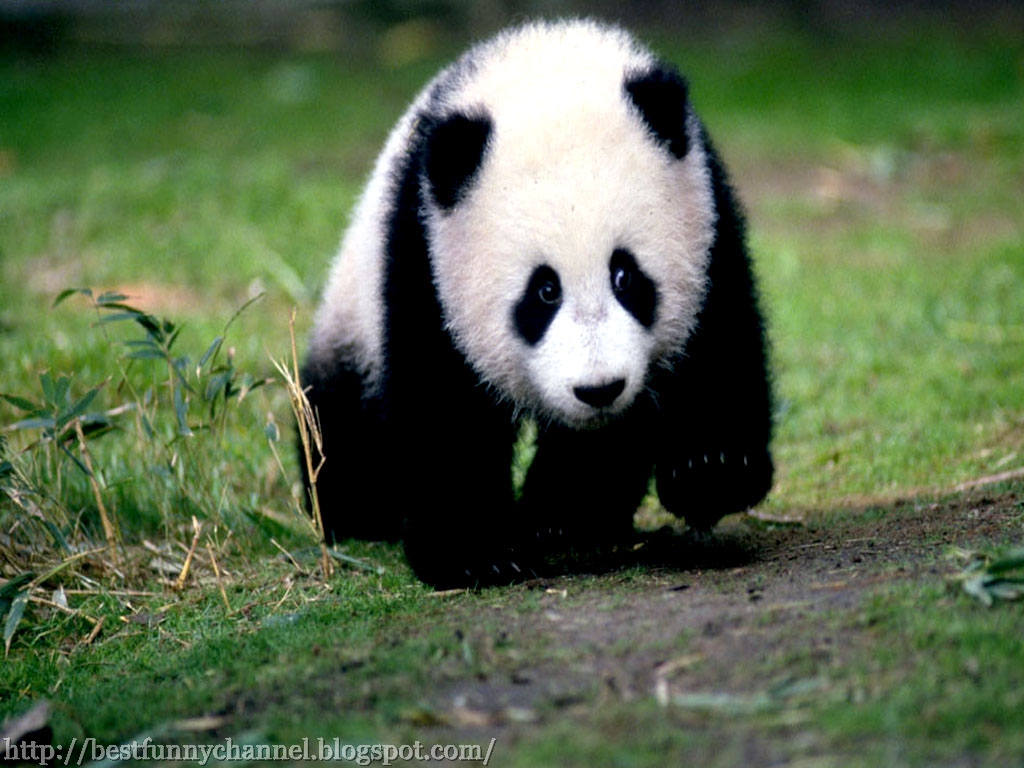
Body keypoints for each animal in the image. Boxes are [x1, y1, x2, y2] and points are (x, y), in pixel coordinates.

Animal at [301, 19, 774, 589]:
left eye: (626, 276)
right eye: (544, 291)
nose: (600, 389)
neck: (544, 64)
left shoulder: (705, 210)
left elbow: (719, 340)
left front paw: (709, 467)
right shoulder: (425, 250)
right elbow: (442, 400)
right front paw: (475, 551)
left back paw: (567, 516)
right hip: (353, 310)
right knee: (340, 419)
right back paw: (357, 510)